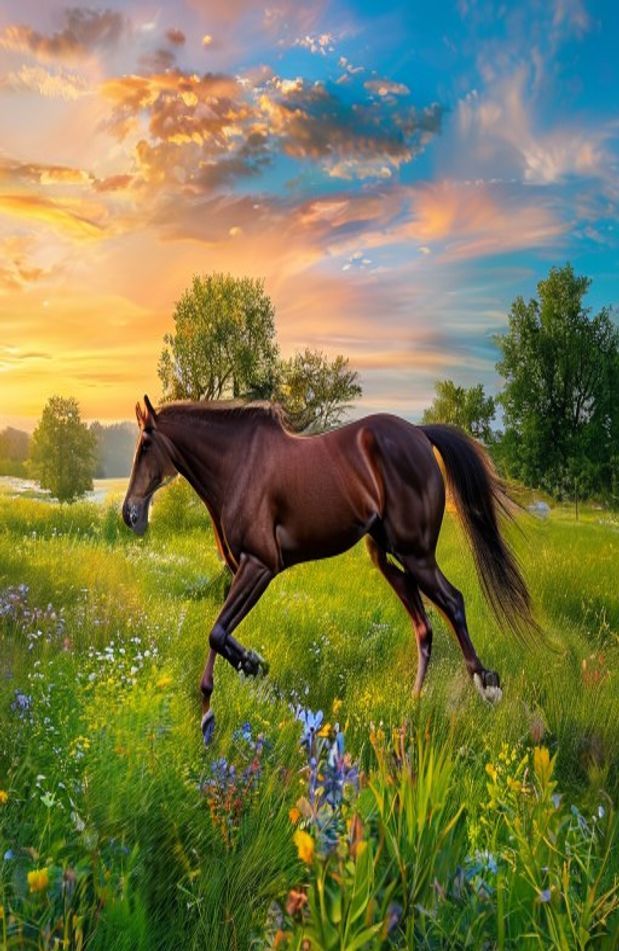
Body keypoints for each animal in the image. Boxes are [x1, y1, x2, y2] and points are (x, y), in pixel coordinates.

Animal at [123, 395, 535, 744]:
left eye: (145, 446)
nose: (129, 514)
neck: (238, 466)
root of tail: (419, 433)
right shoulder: (242, 569)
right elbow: (221, 635)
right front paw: (246, 670)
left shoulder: (260, 566)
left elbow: (217, 632)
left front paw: (217, 705)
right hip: (388, 557)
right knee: (424, 626)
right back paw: (412, 706)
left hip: (415, 554)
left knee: (453, 602)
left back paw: (487, 685)